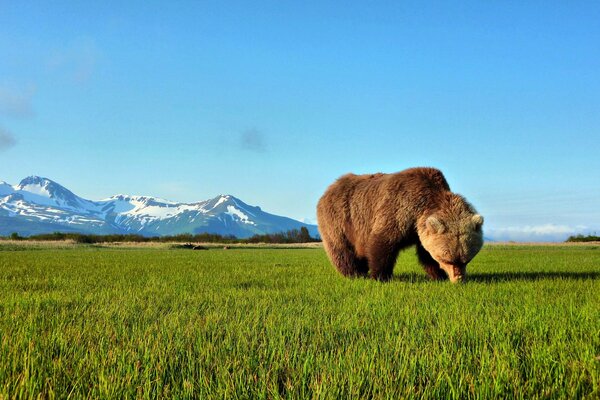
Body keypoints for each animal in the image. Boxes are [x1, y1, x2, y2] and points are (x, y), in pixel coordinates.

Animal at [318, 167, 482, 282]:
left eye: (466, 259)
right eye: (447, 259)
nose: (458, 279)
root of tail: (330, 187)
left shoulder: (419, 230)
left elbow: (425, 254)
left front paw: (438, 275)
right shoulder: (399, 209)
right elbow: (382, 243)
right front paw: (381, 276)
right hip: (339, 219)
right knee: (342, 250)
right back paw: (354, 274)